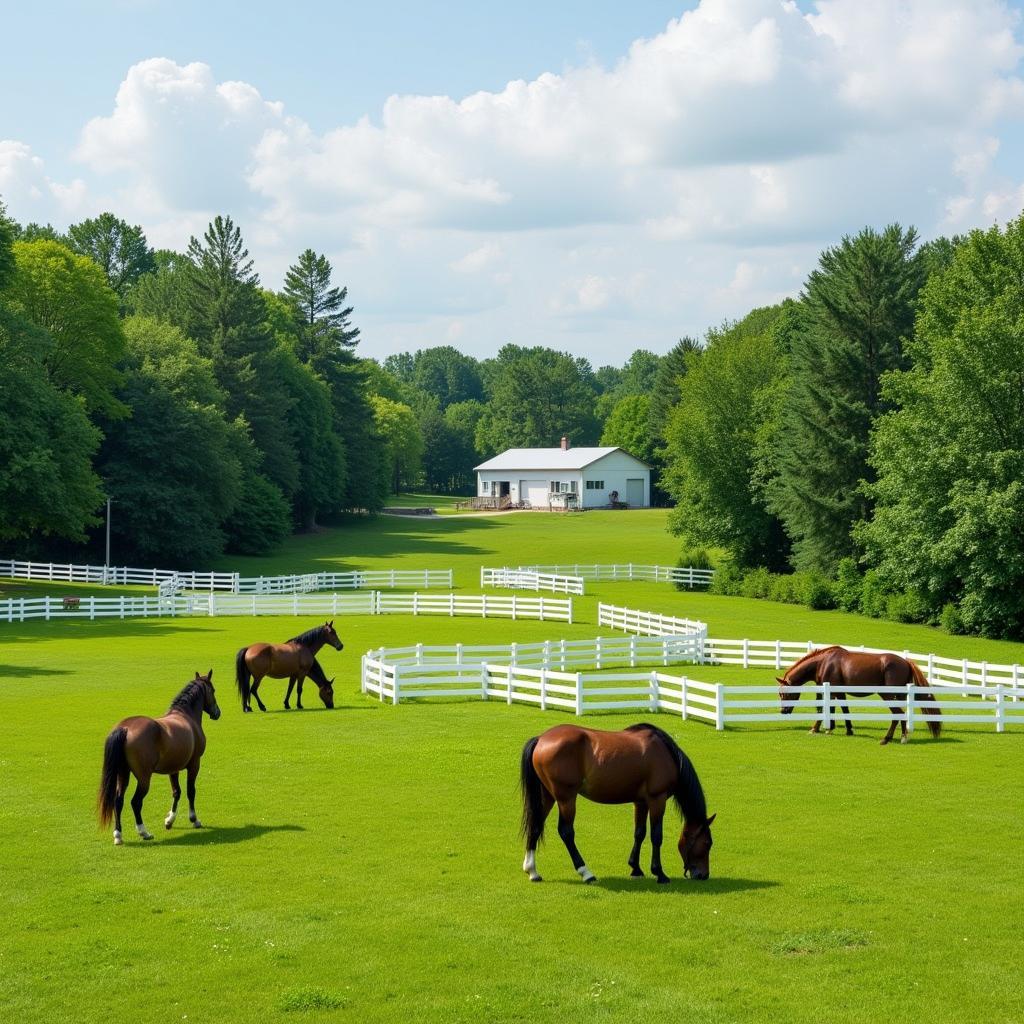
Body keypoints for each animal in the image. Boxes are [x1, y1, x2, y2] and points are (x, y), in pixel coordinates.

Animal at [96, 667, 221, 843]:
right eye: (213, 690)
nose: (217, 712)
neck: (185, 715)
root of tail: (125, 728)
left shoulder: (173, 768)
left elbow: (176, 792)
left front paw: (170, 820)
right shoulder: (194, 764)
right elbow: (190, 791)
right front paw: (194, 819)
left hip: (123, 773)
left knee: (118, 800)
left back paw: (118, 835)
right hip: (143, 778)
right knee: (136, 802)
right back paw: (144, 832)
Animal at [520, 724, 712, 884]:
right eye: (707, 843)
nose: (703, 875)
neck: (665, 753)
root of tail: (540, 739)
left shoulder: (641, 802)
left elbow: (639, 833)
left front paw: (636, 868)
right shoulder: (657, 799)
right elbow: (656, 836)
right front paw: (659, 873)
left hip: (547, 796)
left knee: (535, 826)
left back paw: (532, 871)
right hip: (566, 798)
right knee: (566, 832)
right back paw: (586, 873)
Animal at [778, 647, 946, 745]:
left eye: (783, 693)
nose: (783, 711)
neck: (823, 662)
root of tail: (905, 662)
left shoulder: (829, 690)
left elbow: (824, 709)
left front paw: (815, 729)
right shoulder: (838, 692)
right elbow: (842, 710)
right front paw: (842, 729)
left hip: (888, 696)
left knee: (897, 714)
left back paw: (890, 738)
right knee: (900, 715)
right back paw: (899, 737)